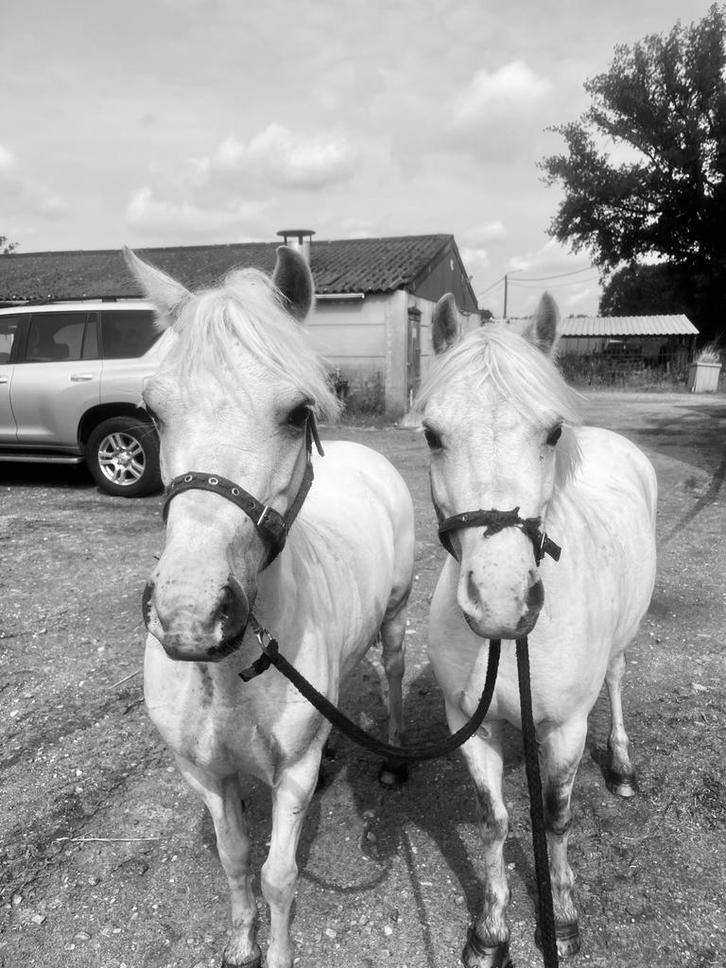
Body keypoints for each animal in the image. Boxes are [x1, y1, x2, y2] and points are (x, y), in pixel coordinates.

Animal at [126, 246, 415, 968]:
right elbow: (234, 859)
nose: (191, 615)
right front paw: (240, 943)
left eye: (295, 411)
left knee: (394, 672)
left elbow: (278, 875)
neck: (231, 674)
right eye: (153, 410)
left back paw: (395, 758)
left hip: (397, 615)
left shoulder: (293, 777)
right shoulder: (204, 774)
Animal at [416, 293, 657, 967]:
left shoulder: (567, 726)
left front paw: (566, 917)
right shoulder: (467, 723)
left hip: (622, 645)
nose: (501, 601)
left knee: (618, 679)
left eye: (551, 433)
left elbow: (555, 817)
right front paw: (490, 931)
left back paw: (622, 766)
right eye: (432, 435)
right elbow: (495, 820)